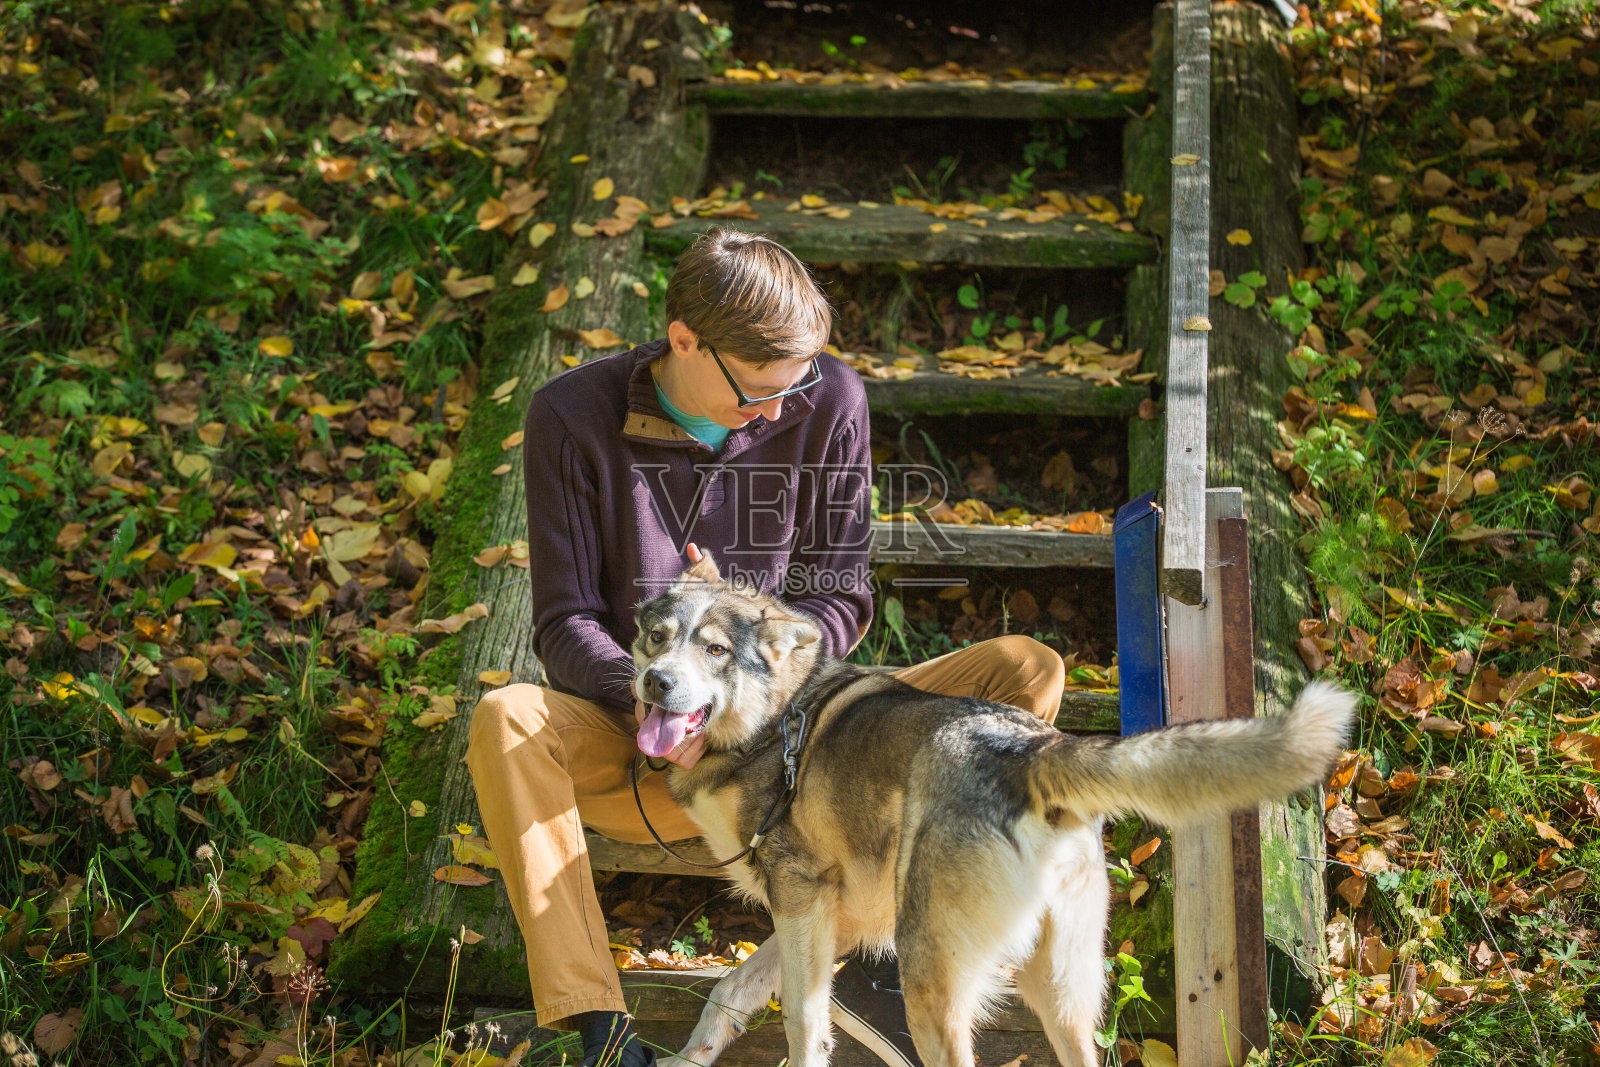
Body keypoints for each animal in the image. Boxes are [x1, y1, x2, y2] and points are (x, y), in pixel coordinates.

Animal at [630, 550, 1356, 1067]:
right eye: (657, 638)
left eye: (715, 649)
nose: (654, 682)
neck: (774, 723)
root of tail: (1034, 750)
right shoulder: (823, 914)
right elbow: (731, 990)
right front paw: (689, 1058)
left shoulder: (804, 900)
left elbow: (802, 1024)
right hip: (1059, 990)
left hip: (932, 982)